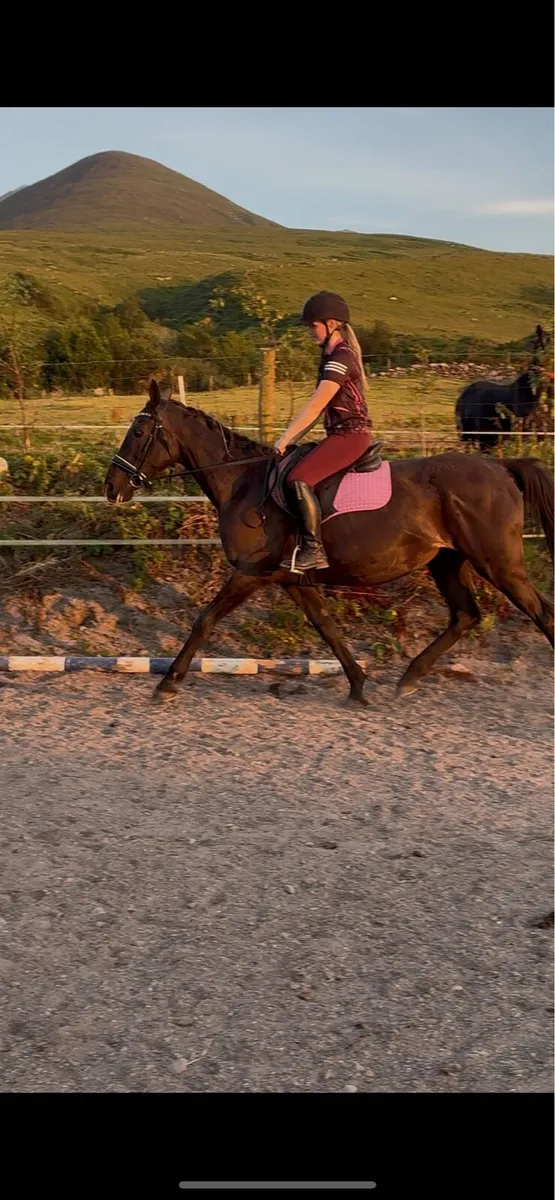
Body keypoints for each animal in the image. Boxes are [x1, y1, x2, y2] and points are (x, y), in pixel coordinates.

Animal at [103, 379, 553, 706]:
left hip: (498, 563)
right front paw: (357, 685)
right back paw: (408, 678)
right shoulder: (292, 579)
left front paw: (167, 683)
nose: (111, 487)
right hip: (446, 561)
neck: (244, 483)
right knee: (464, 616)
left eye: (139, 431)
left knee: (540, 613)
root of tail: (501, 468)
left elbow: (205, 620)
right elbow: (327, 627)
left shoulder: (250, 573)